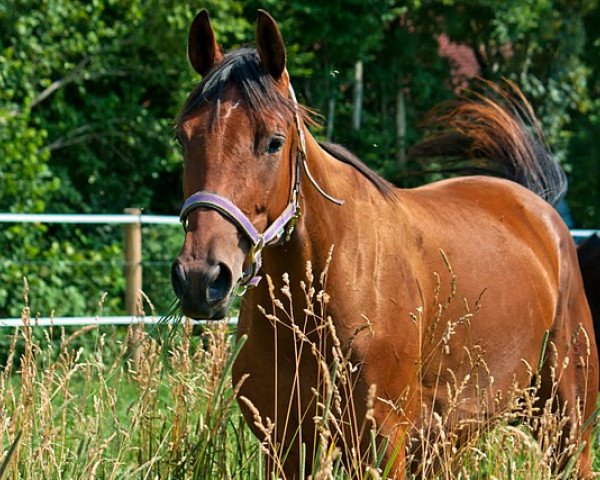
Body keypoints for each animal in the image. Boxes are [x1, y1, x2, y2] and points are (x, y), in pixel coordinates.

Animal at [170, 9, 600, 478]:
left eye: (274, 141)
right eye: (183, 137)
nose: (200, 277)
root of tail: (540, 211)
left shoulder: (381, 443)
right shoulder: (283, 446)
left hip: (566, 430)